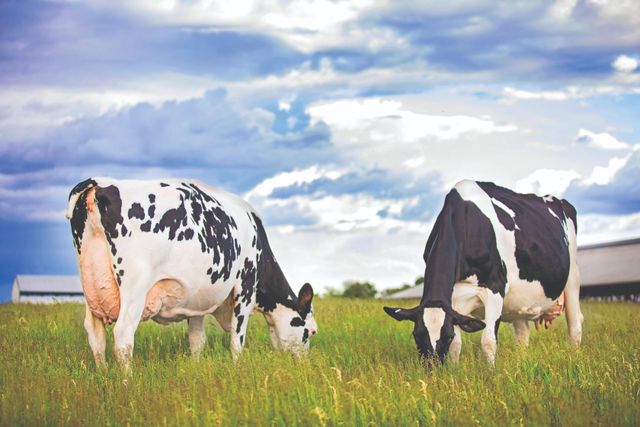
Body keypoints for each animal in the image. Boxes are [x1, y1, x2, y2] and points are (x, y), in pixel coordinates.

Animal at [66, 178, 317, 369]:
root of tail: (99, 184)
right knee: (123, 337)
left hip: (90, 284)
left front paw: (196, 367)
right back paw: (127, 383)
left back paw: (104, 378)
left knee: (95, 337)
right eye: (311, 332)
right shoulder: (245, 285)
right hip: (134, 287)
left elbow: (197, 340)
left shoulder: (196, 300)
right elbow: (237, 339)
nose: (303, 363)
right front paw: (237, 367)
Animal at [384, 180, 583, 365]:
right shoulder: (454, 302)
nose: (432, 370)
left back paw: (574, 357)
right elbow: (457, 345)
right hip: (519, 300)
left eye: (447, 336)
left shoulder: (495, 287)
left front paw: (491, 373)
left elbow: (488, 341)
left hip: (572, 277)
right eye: (417, 335)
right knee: (523, 334)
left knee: (575, 324)